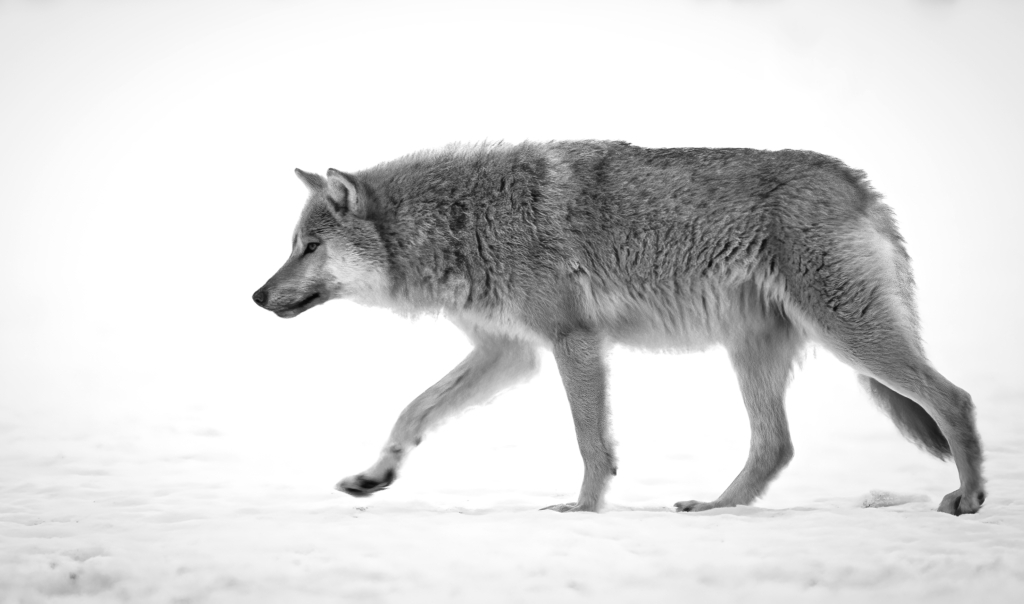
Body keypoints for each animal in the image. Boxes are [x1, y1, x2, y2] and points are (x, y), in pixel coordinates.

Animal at [249, 141, 983, 515]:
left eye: (308, 247)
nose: (256, 295)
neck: (459, 222)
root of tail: (856, 179)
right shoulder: (511, 353)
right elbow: (412, 411)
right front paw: (374, 476)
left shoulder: (571, 342)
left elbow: (589, 442)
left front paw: (582, 510)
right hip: (755, 353)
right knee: (776, 446)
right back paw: (715, 508)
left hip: (847, 335)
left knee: (954, 399)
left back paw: (970, 496)